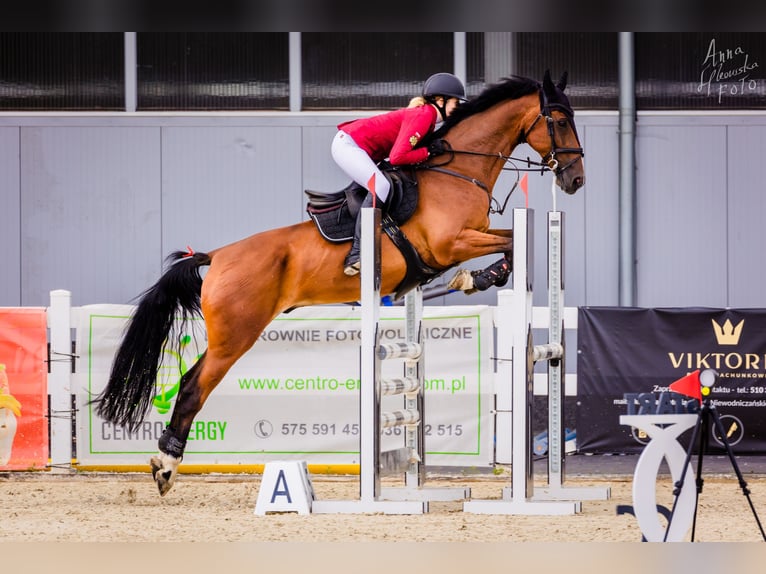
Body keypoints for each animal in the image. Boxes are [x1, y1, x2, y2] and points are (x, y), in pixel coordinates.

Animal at [93, 70, 585, 496]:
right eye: (560, 121)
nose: (575, 180)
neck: (456, 170)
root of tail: (217, 256)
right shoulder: (450, 243)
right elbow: (511, 242)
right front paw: (477, 277)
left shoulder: (466, 238)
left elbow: (509, 243)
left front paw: (479, 277)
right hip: (236, 336)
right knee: (194, 387)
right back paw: (166, 465)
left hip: (230, 336)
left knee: (190, 380)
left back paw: (165, 462)